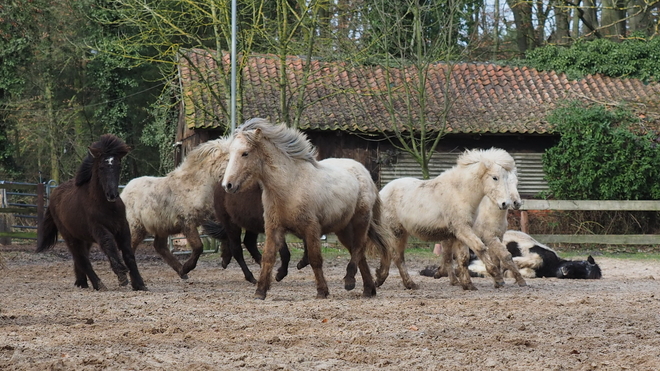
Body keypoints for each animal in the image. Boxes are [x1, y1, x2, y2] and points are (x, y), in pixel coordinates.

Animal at [36, 135, 146, 292]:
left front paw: (139, 283)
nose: (112, 195)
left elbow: (128, 253)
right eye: (101, 167)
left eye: (118, 166)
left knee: (81, 258)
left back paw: (82, 282)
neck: (105, 205)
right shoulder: (99, 229)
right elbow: (109, 245)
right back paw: (98, 284)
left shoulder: (123, 227)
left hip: (83, 238)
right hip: (70, 236)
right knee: (82, 259)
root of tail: (53, 196)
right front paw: (121, 274)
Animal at [121, 137, 235, 280]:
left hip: (161, 226)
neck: (196, 186)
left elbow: (224, 232)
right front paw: (187, 267)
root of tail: (122, 194)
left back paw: (181, 272)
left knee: (159, 246)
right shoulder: (187, 222)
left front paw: (225, 259)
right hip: (136, 228)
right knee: (130, 248)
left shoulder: (211, 217)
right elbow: (198, 246)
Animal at [222, 119, 390, 302]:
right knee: (358, 253)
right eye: (230, 153)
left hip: (360, 220)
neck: (289, 186)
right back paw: (368, 289)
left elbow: (315, 259)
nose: (227, 185)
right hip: (343, 229)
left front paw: (322, 291)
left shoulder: (311, 228)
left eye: (245, 153)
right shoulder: (273, 228)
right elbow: (268, 257)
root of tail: (364, 173)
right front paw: (260, 291)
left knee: (359, 247)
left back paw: (350, 281)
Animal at [374, 147, 520, 290]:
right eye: (495, 178)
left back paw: (381, 278)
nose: (506, 203)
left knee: (390, 254)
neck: (460, 192)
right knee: (397, 257)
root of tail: (381, 193)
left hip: (401, 233)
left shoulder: (460, 234)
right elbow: (480, 247)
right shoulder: (463, 229)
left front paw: (468, 284)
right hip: (396, 232)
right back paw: (409, 283)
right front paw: (497, 277)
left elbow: (463, 258)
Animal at [422, 231, 604, 280]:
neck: (551, 266)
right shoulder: (535, 255)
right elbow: (517, 261)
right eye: (583, 264)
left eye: (583, 275)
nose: (565, 271)